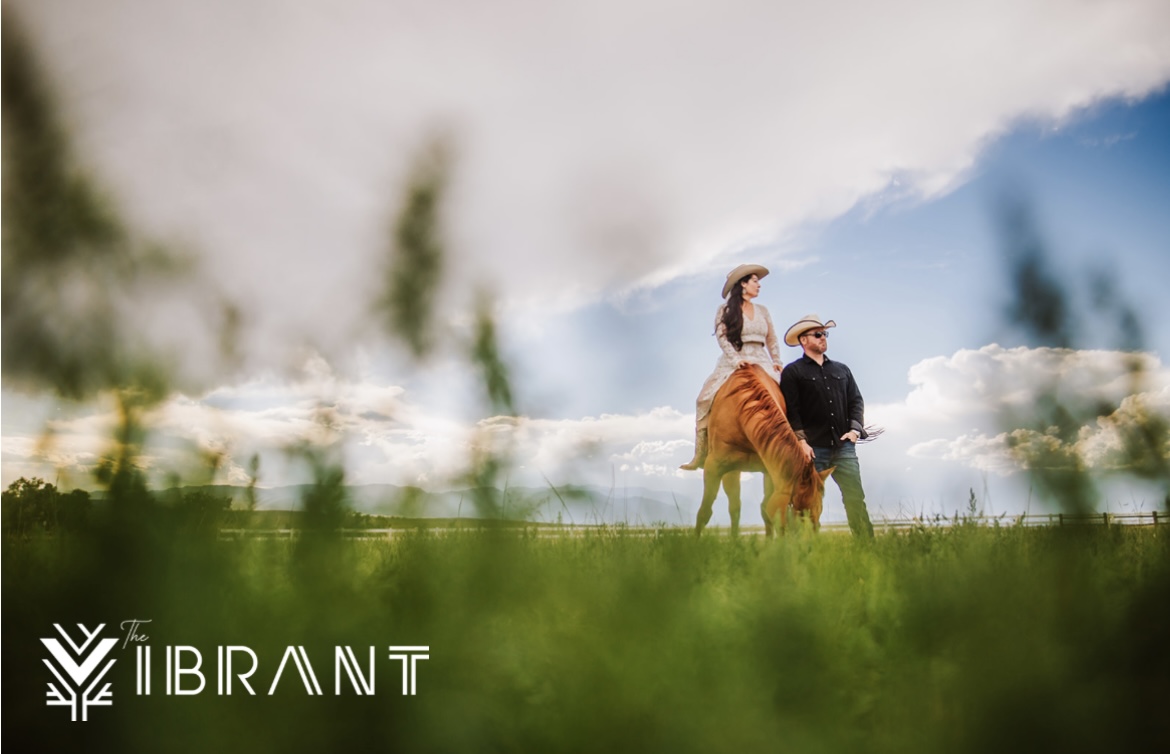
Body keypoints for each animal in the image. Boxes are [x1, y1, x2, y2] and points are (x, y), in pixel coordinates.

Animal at [692, 362, 833, 536]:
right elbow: (704, 512)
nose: (811, 541)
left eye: (819, 510)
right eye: (799, 511)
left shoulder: (771, 471)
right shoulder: (713, 467)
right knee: (734, 507)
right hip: (730, 472)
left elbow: (767, 510)